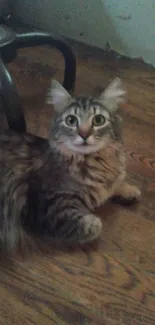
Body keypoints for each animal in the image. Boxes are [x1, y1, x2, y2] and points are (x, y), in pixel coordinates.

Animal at [0, 76, 141, 253]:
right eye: (71, 120)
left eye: (98, 120)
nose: (84, 134)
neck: (96, 161)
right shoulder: (47, 206)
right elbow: (93, 224)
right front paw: (94, 221)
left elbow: (117, 184)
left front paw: (129, 190)